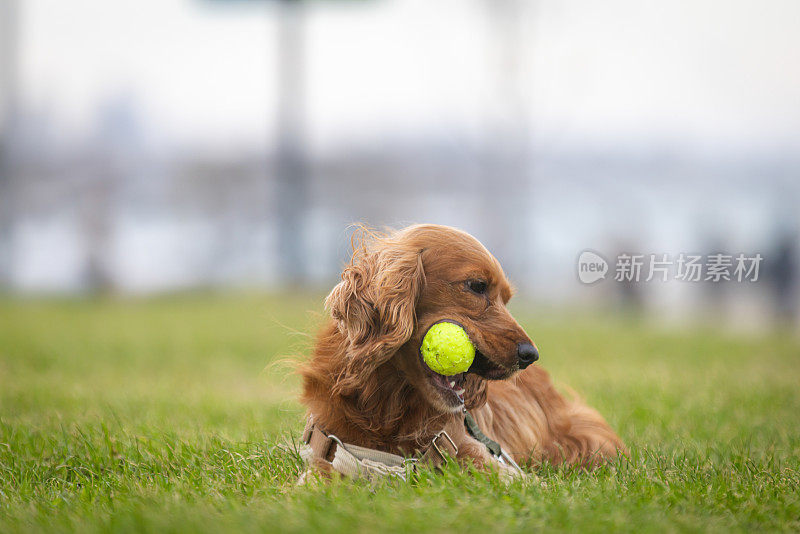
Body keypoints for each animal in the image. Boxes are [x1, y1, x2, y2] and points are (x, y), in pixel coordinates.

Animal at [300, 224, 624, 480]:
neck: (388, 409)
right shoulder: (331, 444)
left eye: (506, 299)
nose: (530, 355)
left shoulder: (465, 448)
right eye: (477, 286)